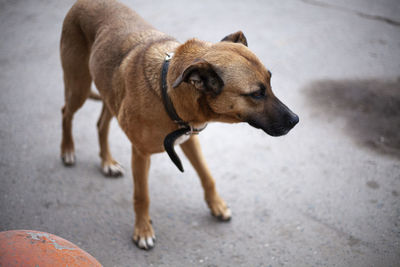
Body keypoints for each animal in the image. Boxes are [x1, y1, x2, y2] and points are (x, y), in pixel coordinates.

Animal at [59, 0, 296, 251]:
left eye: (270, 82)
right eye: (256, 94)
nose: (295, 120)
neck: (167, 92)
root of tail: (81, 3)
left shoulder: (189, 139)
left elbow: (207, 175)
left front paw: (217, 205)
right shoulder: (141, 154)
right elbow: (142, 196)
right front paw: (143, 230)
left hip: (108, 92)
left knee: (101, 123)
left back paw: (106, 162)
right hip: (79, 87)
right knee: (66, 113)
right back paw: (67, 150)